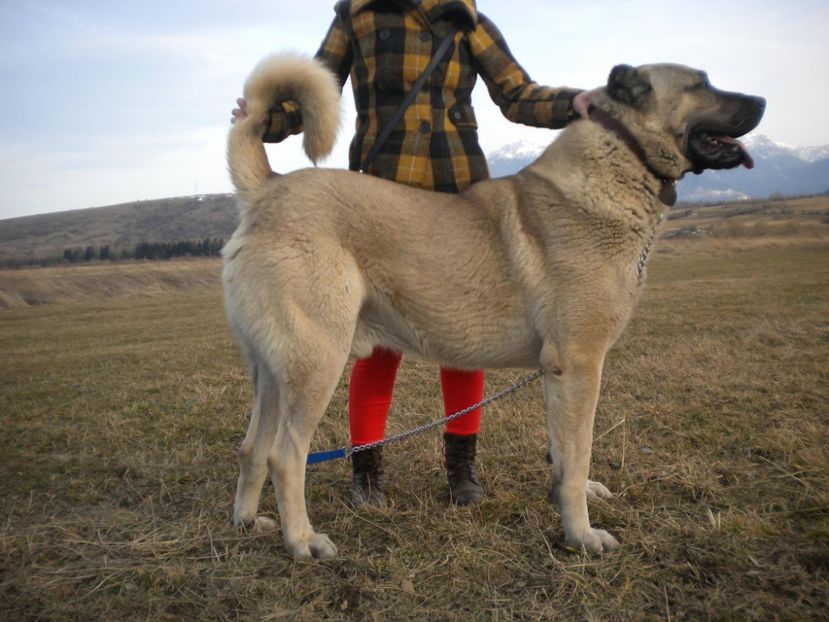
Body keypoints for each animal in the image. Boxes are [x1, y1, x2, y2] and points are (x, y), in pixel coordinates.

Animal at [220, 54, 764, 560]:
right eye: (700, 84)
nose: (761, 101)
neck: (619, 162)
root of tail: (267, 189)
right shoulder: (580, 364)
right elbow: (580, 453)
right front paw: (581, 535)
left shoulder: (557, 372)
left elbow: (563, 453)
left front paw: (567, 501)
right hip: (317, 362)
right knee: (285, 457)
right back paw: (302, 541)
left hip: (274, 373)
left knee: (252, 449)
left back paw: (247, 523)